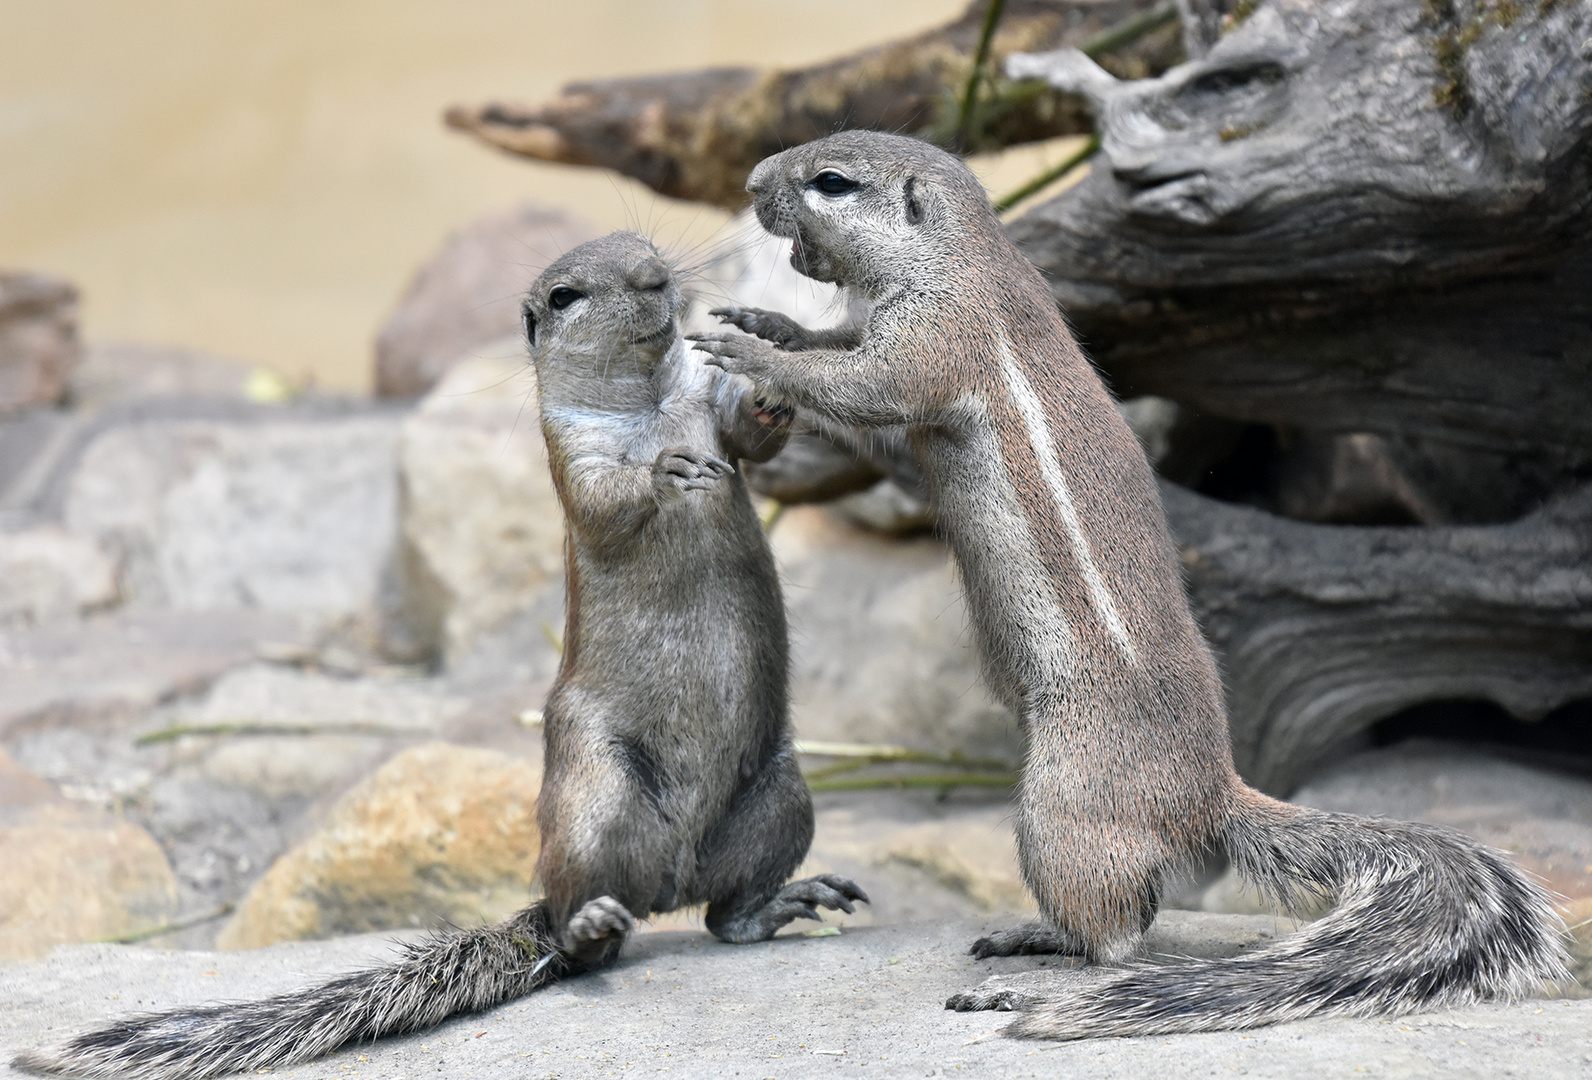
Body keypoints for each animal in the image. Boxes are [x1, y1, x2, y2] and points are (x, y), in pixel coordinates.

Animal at [18, 232, 866, 1076]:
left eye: (645, 246)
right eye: (565, 296)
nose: (655, 275)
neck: (653, 404)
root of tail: (667, 880)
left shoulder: (709, 414)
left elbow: (751, 442)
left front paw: (768, 387)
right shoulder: (573, 460)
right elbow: (607, 504)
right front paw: (665, 470)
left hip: (782, 795)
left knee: (724, 915)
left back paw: (791, 901)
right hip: (594, 793)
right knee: (579, 927)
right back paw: (593, 920)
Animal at [690, 131, 1572, 1044]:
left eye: (832, 182)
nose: (752, 181)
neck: (961, 255)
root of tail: (1209, 796)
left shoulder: (936, 337)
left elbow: (863, 388)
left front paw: (753, 352)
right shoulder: (881, 321)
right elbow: (834, 341)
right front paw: (767, 322)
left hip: (1061, 807)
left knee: (1119, 942)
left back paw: (1029, 981)